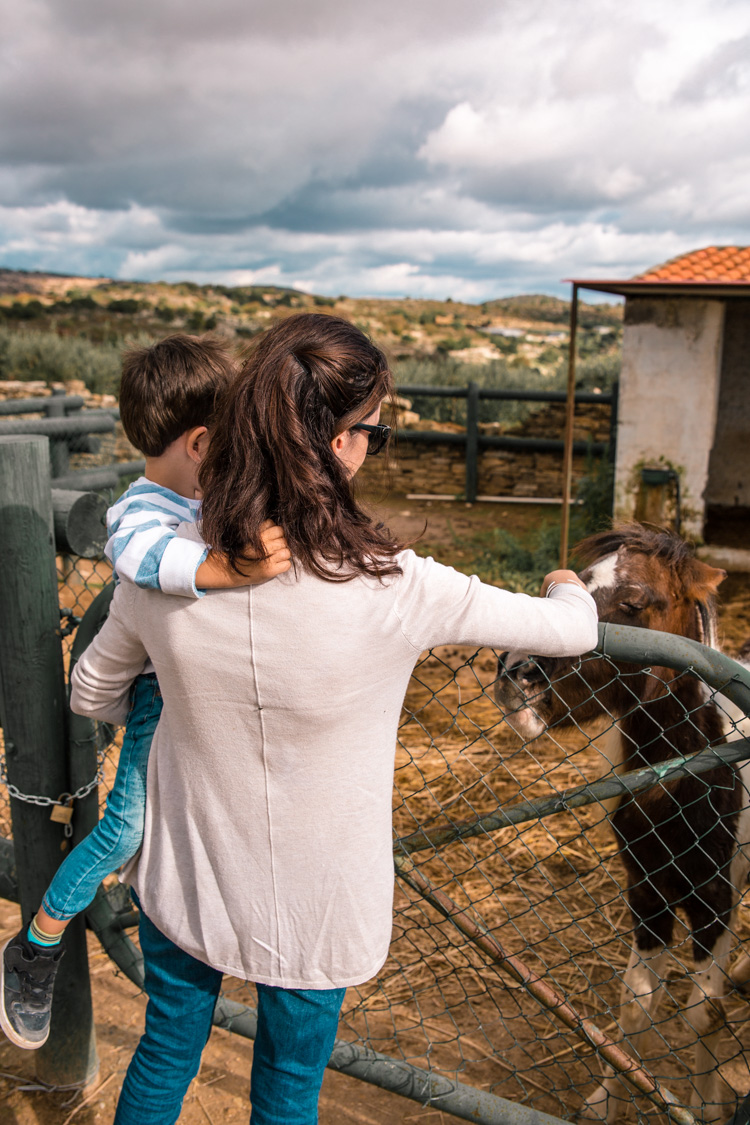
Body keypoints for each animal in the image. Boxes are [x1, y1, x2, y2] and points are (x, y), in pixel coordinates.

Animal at [492, 522, 750, 1120]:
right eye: (565, 586)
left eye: (633, 604)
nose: (515, 672)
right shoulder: (647, 892)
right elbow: (637, 1002)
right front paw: (608, 1099)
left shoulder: (716, 901)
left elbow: (704, 1011)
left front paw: (707, 1106)